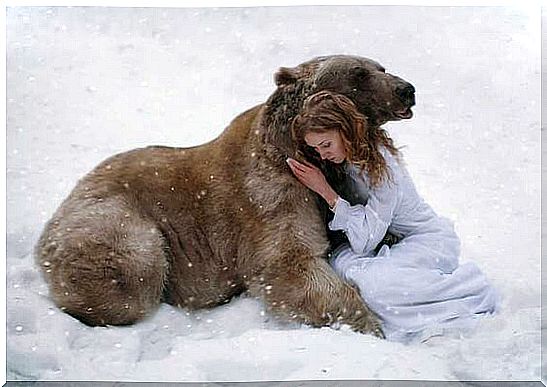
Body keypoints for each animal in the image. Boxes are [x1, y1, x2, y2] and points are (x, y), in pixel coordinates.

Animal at [34, 54, 416, 336]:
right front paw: (370, 325)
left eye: (381, 66)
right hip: (112, 221)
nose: (406, 89)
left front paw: (393, 237)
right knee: (132, 276)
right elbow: (289, 262)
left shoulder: (334, 187)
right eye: (359, 72)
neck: (308, 156)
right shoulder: (273, 194)